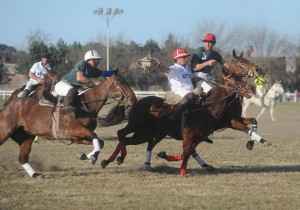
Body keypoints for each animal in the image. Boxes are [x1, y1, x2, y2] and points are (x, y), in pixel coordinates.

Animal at [0, 71, 136, 178]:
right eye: (121, 83)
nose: (133, 99)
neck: (85, 106)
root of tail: (7, 106)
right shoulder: (74, 130)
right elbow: (96, 138)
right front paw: (91, 157)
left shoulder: (76, 137)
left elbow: (99, 141)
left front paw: (87, 156)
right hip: (5, 131)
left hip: (26, 136)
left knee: (22, 158)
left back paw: (36, 174)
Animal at [101, 51, 272, 176]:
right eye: (241, 64)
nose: (252, 89)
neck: (208, 107)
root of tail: (136, 102)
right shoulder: (215, 125)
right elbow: (187, 152)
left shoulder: (207, 132)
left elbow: (252, 121)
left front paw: (258, 141)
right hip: (137, 125)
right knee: (122, 134)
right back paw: (113, 159)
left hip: (149, 132)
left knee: (136, 141)